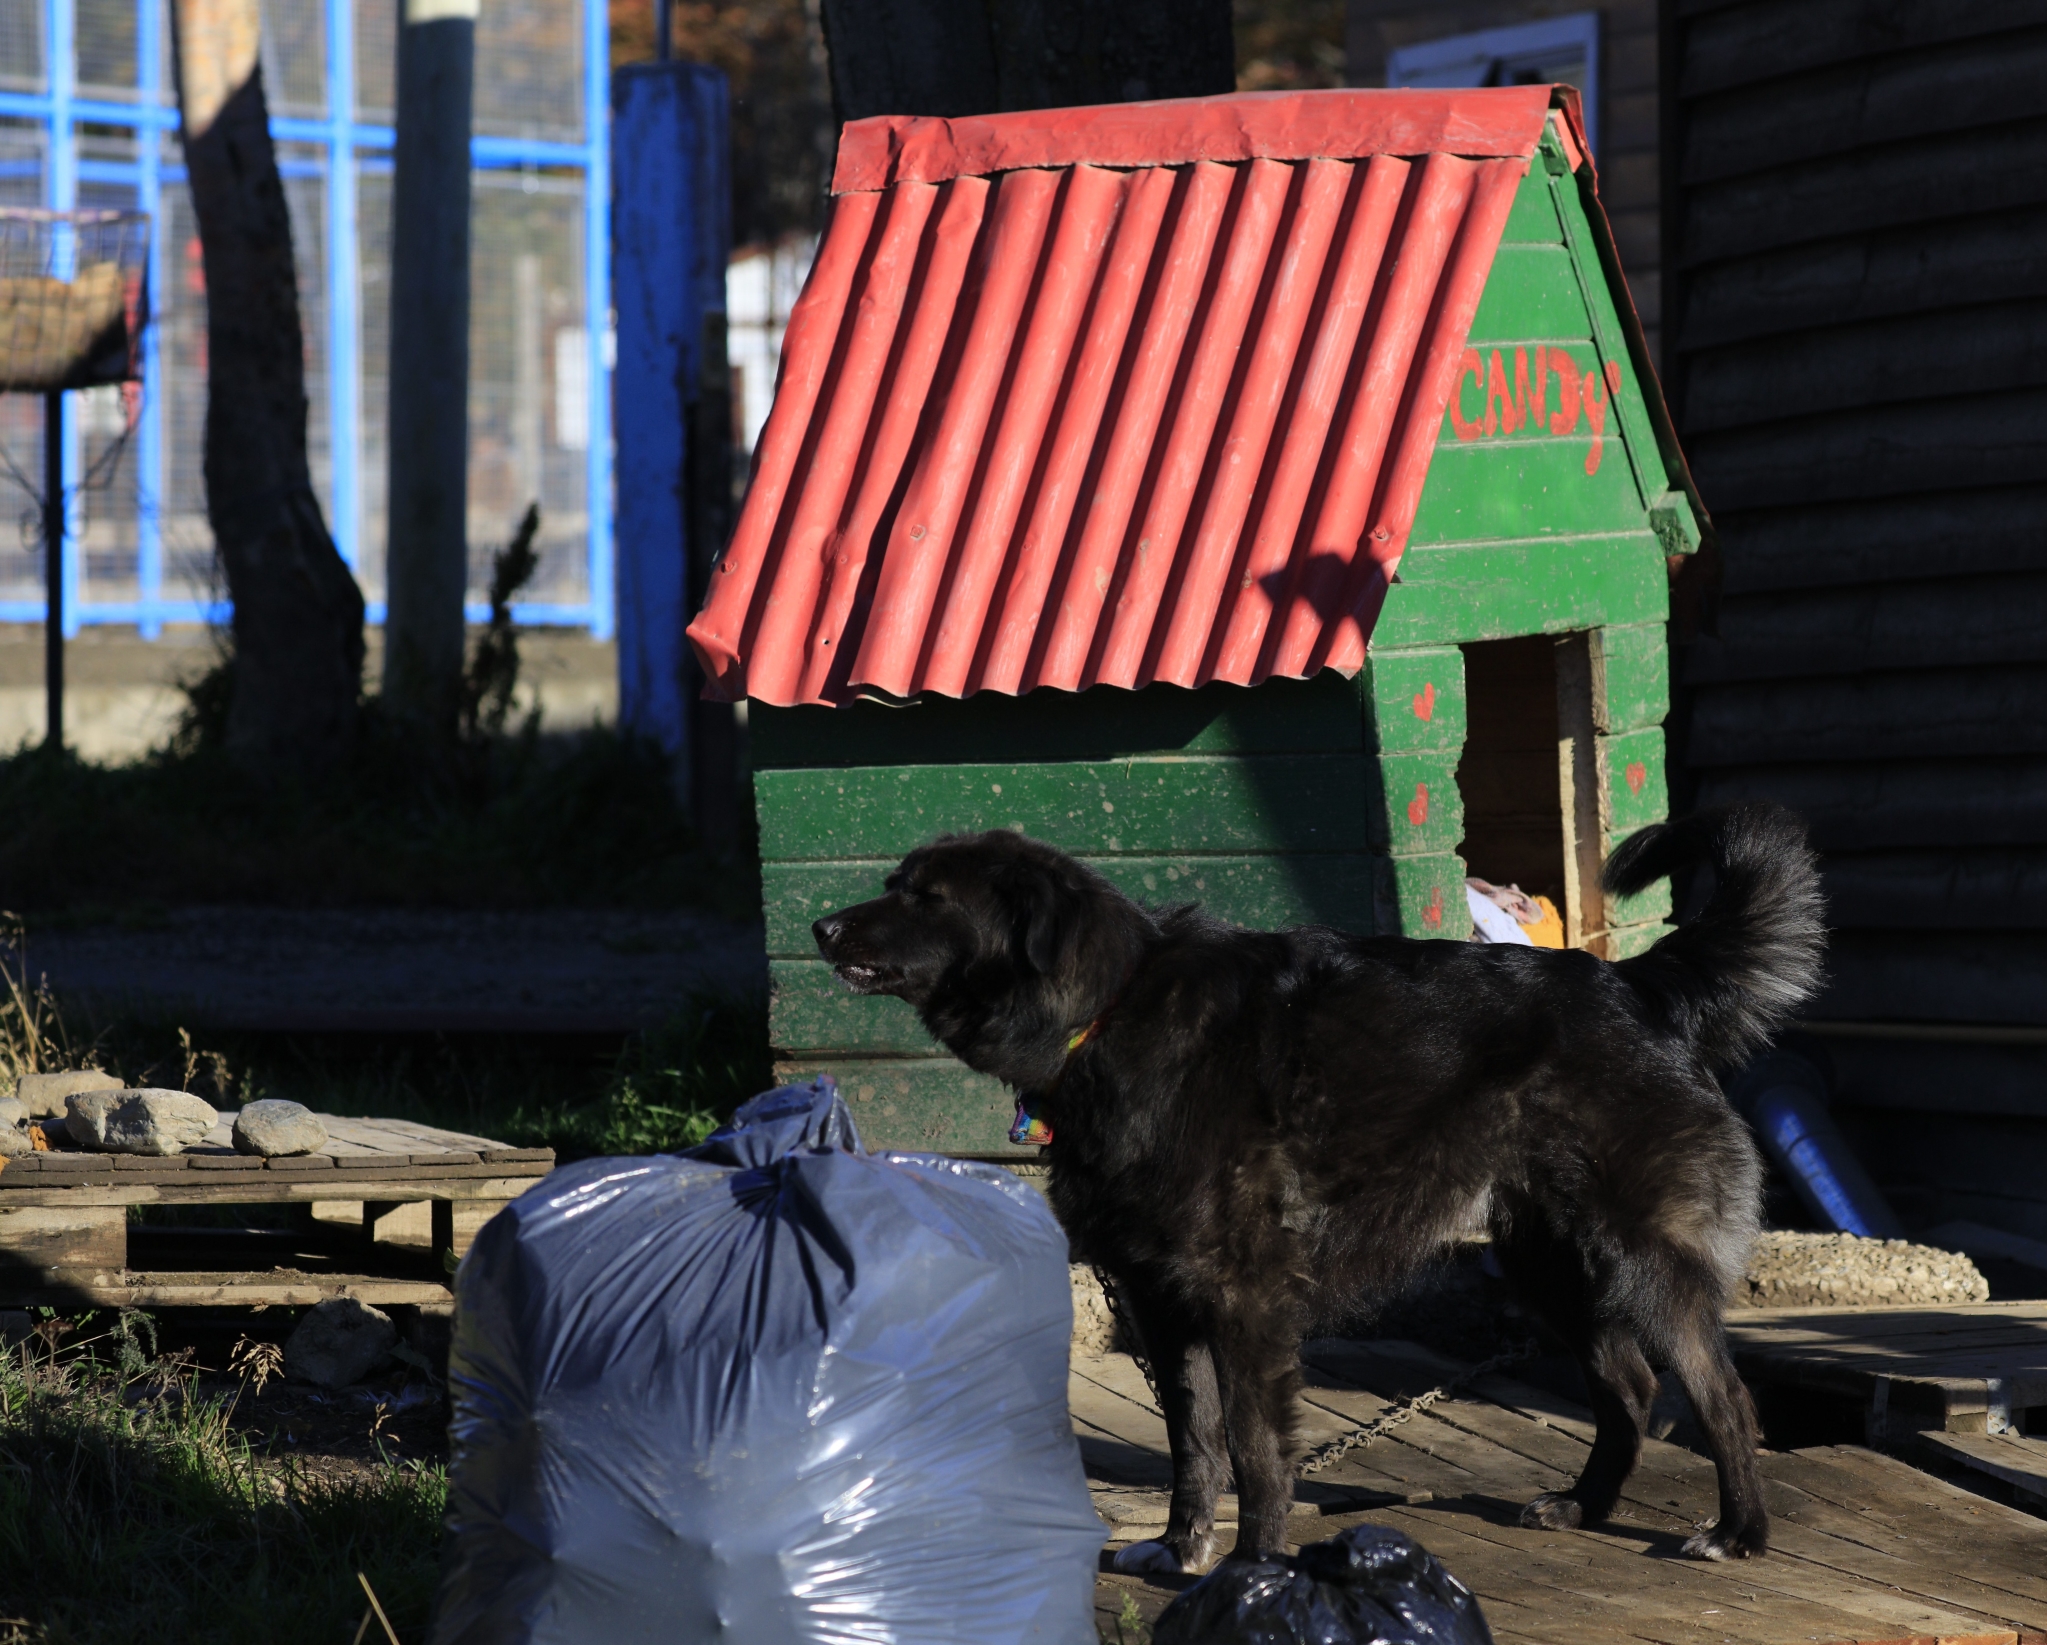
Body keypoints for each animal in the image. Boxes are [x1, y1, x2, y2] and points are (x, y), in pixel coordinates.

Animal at [814, 806, 1825, 1571]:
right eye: (895, 881)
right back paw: (1584, 1504)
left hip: (1636, 1260)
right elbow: (1193, 1444)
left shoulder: (1245, 1299)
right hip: (1552, 1265)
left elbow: (1256, 1449)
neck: (1107, 1007)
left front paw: (1253, 1566)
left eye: (926, 897)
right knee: (1628, 1386)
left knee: (1720, 1393)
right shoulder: (1161, 1302)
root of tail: (1631, 983)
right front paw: (1178, 1552)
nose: (820, 927)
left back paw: (1736, 1533)